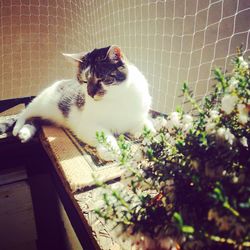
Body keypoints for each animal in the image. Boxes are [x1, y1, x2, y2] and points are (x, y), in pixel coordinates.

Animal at [0, 45, 154, 161]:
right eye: (84, 81)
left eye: (101, 79)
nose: (90, 94)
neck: (117, 98)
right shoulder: (87, 125)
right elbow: (104, 135)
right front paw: (111, 150)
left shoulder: (138, 118)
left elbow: (149, 128)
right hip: (40, 104)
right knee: (24, 114)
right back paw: (18, 129)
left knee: (35, 120)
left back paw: (25, 133)